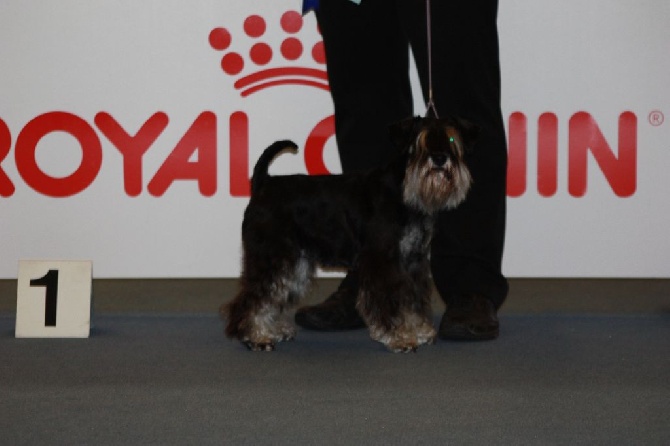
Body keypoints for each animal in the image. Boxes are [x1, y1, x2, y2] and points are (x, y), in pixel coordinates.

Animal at [224, 116, 478, 354]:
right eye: (420, 140)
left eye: (452, 139)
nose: (439, 159)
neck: (404, 191)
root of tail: (263, 184)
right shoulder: (383, 261)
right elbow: (391, 301)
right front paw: (400, 338)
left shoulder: (413, 261)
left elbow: (413, 300)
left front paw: (420, 330)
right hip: (271, 257)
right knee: (252, 297)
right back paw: (255, 337)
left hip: (294, 263)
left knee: (275, 293)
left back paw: (272, 330)